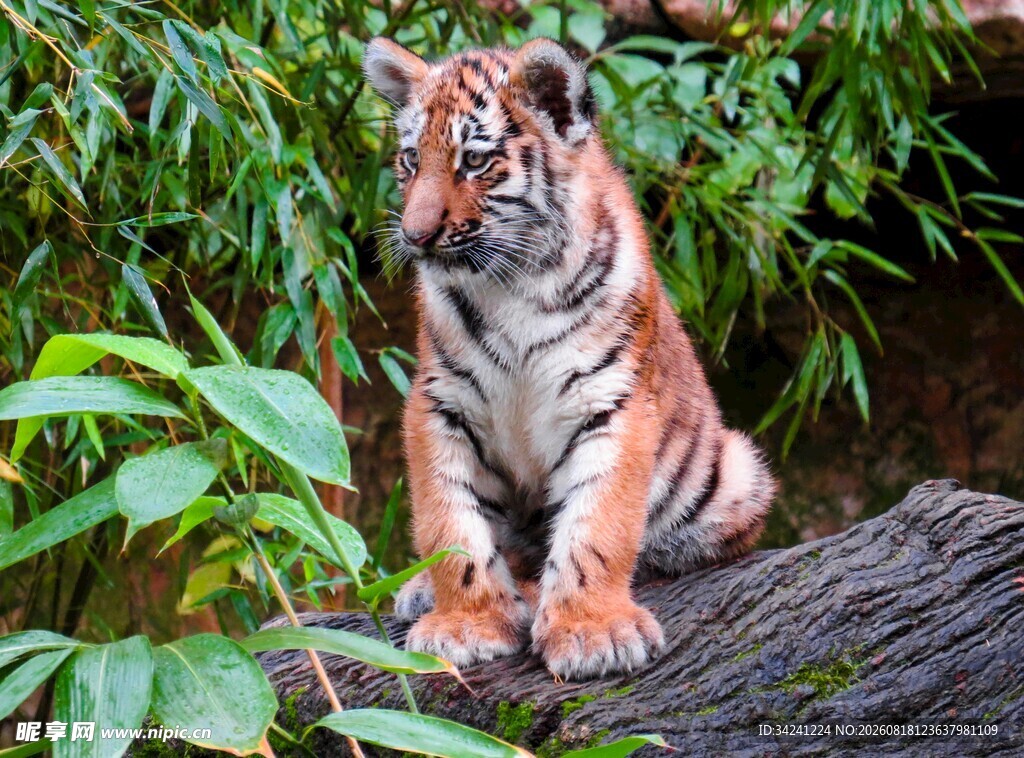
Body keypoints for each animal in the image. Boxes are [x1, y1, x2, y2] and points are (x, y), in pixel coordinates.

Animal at [363, 36, 775, 681]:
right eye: (410, 160)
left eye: (473, 161)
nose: (415, 235)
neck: (509, 283)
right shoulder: (440, 404)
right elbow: (450, 523)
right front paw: (466, 623)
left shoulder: (613, 401)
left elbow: (597, 525)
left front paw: (592, 632)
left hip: (736, 473)